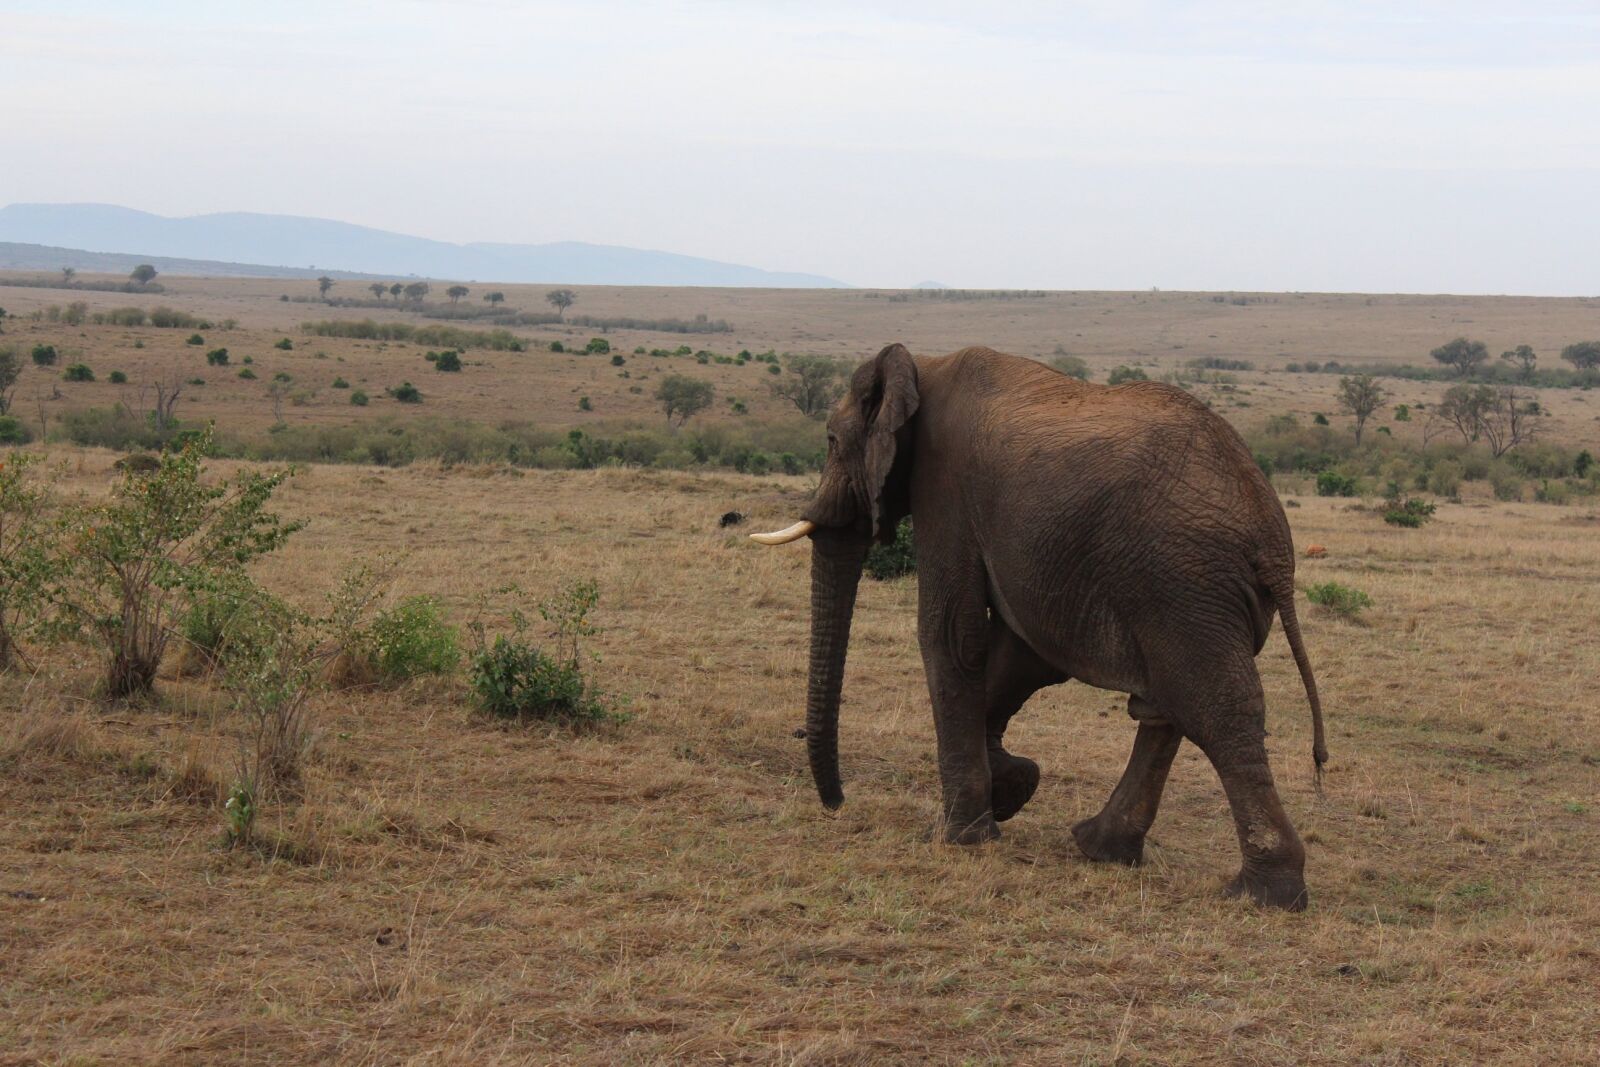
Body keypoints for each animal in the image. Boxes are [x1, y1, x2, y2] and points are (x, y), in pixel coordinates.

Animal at [751, 343, 1327, 910]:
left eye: (831, 440)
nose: (836, 802)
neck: (923, 366)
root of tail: (1274, 546)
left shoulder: (944, 485)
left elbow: (952, 635)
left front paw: (960, 836)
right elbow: (1022, 652)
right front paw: (1011, 788)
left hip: (1184, 581)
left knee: (1216, 711)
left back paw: (1264, 895)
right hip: (1191, 593)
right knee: (1167, 708)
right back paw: (1102, 849)